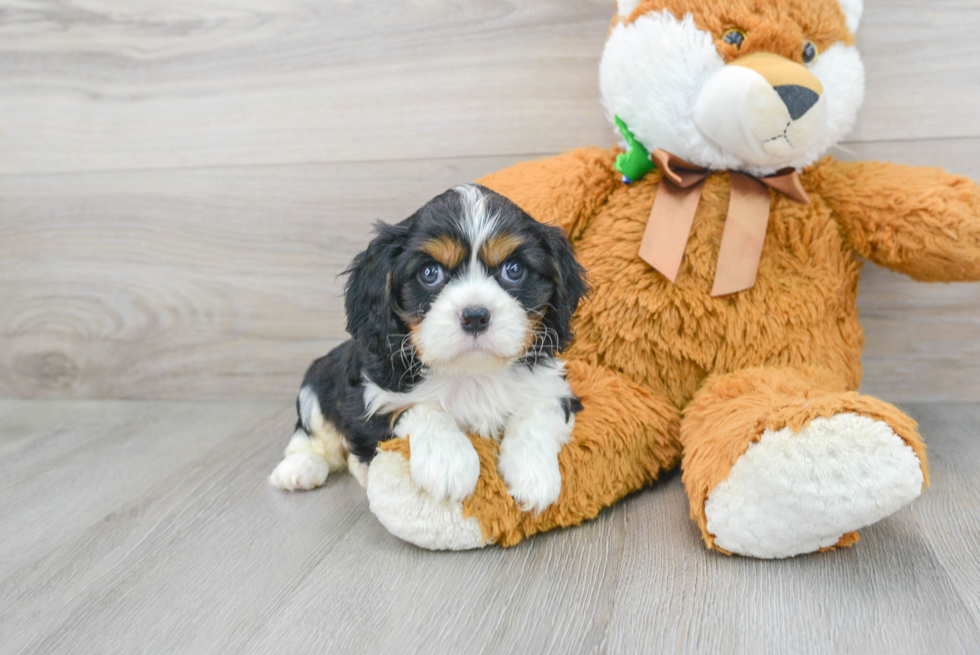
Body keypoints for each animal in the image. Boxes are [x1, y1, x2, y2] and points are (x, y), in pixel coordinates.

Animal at [268, 183, 584, 512]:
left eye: (514, 269)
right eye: (430, 273)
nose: (475, 316)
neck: (472, 373)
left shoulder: (552, 388)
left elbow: (536, 414)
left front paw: (533, 475)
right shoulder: (374, 396)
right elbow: (420, 407)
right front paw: (449, 464)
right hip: (318, 380)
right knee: (311, 434)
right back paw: (299, 469)